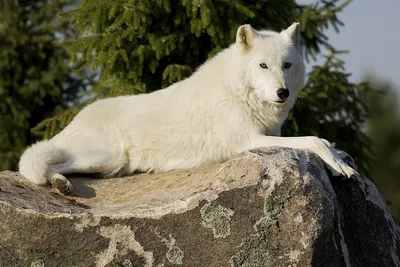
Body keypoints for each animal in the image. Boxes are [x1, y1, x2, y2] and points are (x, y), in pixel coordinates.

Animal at [17, 23, 358, 194]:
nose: (282, 92)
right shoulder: (250, 140)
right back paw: (58, 183)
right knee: (37, 165)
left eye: (286, 65)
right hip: (107, 157)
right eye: (262, 65)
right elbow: (314, 140)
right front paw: (339, 162)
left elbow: (325, 140)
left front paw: (342, 158)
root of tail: (73, 121)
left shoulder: (269, 134)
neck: (238, 93)